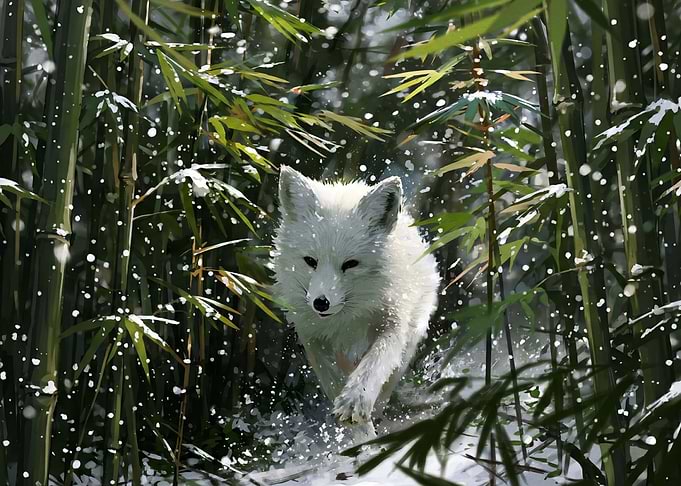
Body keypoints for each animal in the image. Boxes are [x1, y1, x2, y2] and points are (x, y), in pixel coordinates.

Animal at [272, 166, 440, 436]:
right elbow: (333, 380)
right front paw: (360, 434)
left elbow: (373, 367)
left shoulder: (392, 325)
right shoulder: (312, 338)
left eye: (350, 264)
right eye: (310, 261)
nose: (321, 303)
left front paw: (355, 404)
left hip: (412, 333)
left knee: (388, 381)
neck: (346, 320)